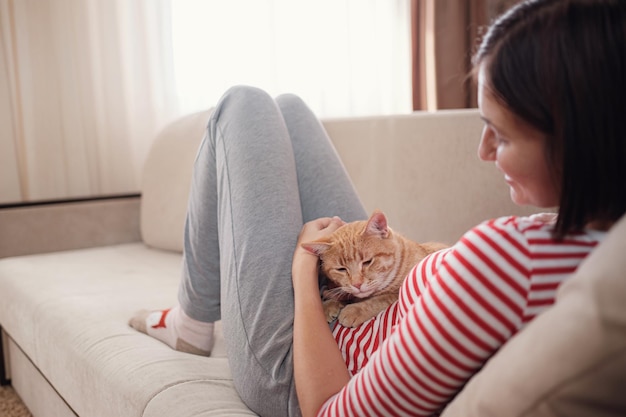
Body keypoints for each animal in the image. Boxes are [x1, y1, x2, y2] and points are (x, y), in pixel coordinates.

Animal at [302, 210, 444, 326]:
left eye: (367, 262)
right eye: (341, 269)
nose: (357, 284)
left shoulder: (401, 291)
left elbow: (380, 299)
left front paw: (355, 310)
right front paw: (327, 305)